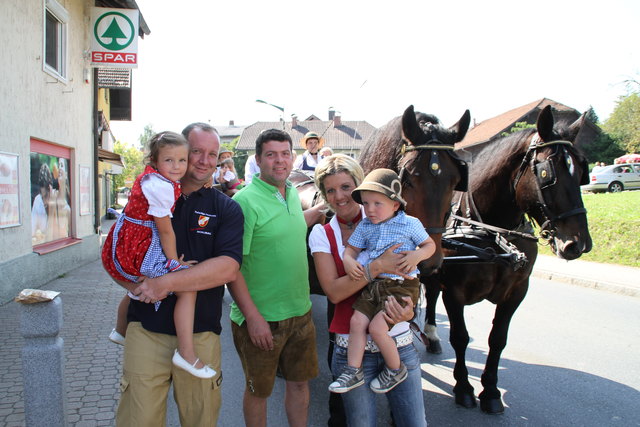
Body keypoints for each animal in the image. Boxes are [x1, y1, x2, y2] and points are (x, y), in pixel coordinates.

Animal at [422, 106, 592, 414]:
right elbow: (460, 337)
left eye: (581, 170)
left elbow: (498, 340)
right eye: (547, 173)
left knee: (430, 294)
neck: (492, 234)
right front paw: (464, 387)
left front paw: (490, 391)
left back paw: (431, 335)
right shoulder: (454, 292)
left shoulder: (516, 291)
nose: (578, 244)